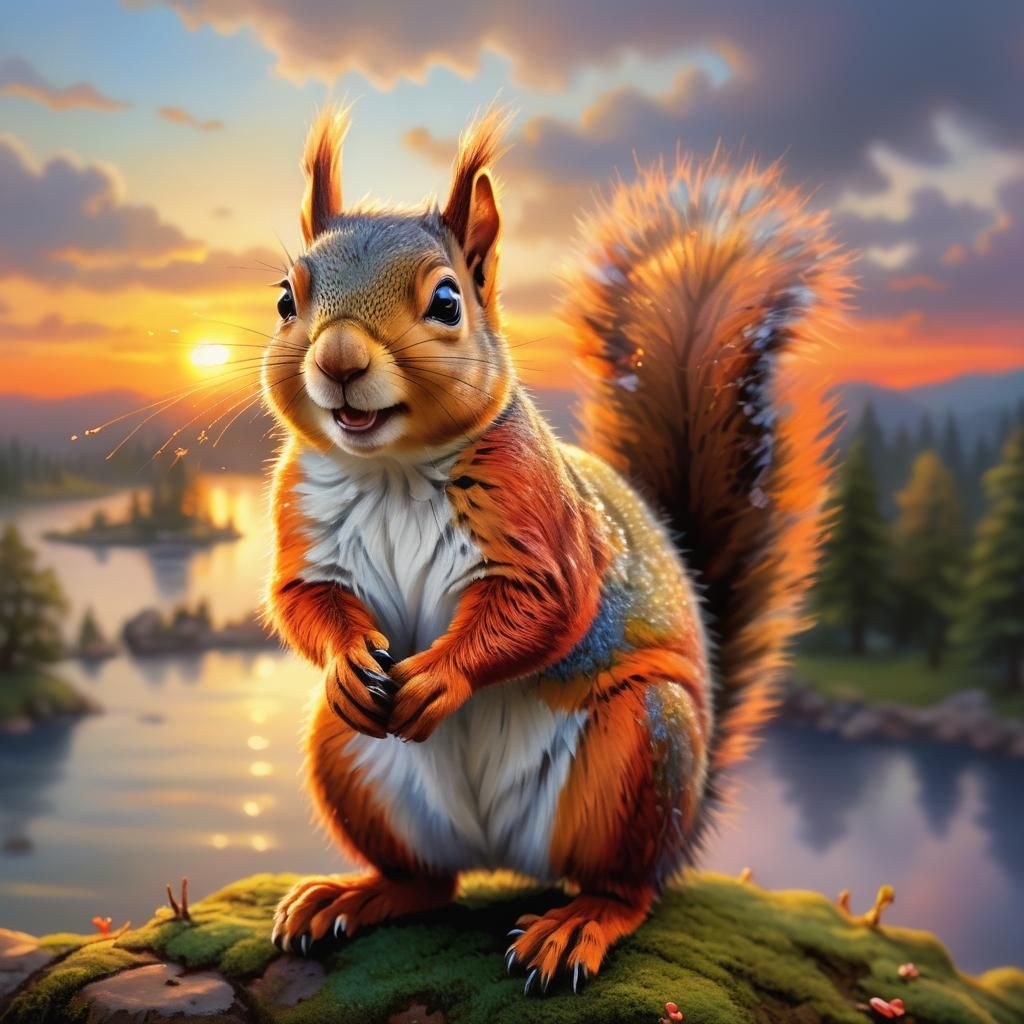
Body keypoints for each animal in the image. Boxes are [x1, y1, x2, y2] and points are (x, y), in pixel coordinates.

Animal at [263, 105, 847, 992]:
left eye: (447, 301)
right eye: (286, 298)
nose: (338, 360)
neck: (391, 469)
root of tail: (501, 853)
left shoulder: (543, 526)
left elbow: (542, 608)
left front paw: (439, 678)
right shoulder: (301, 518)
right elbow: (301, 600)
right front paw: (347, 662)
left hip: (643, 750)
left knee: (627, 885)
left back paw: (579, 924)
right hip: (346, 759)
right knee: (426, 881)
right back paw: (353, 895)